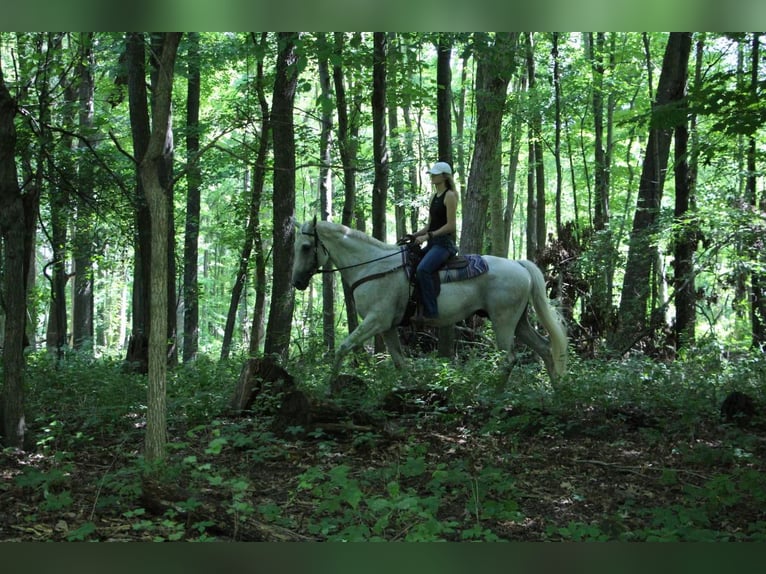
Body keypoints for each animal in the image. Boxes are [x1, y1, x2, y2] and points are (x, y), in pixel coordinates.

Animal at [292, 220, 568, 388]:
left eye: (305, 247)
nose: (297, 282)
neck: (372, 267)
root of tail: (519, 264)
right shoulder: (387, 326)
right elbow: (400, 362)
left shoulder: (376, 320)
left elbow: (343, 347)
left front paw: (330, 386)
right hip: (518, 321)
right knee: (545, 349)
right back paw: (556, 390)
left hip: (503, 321)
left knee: (509, 359)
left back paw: (495, 393)